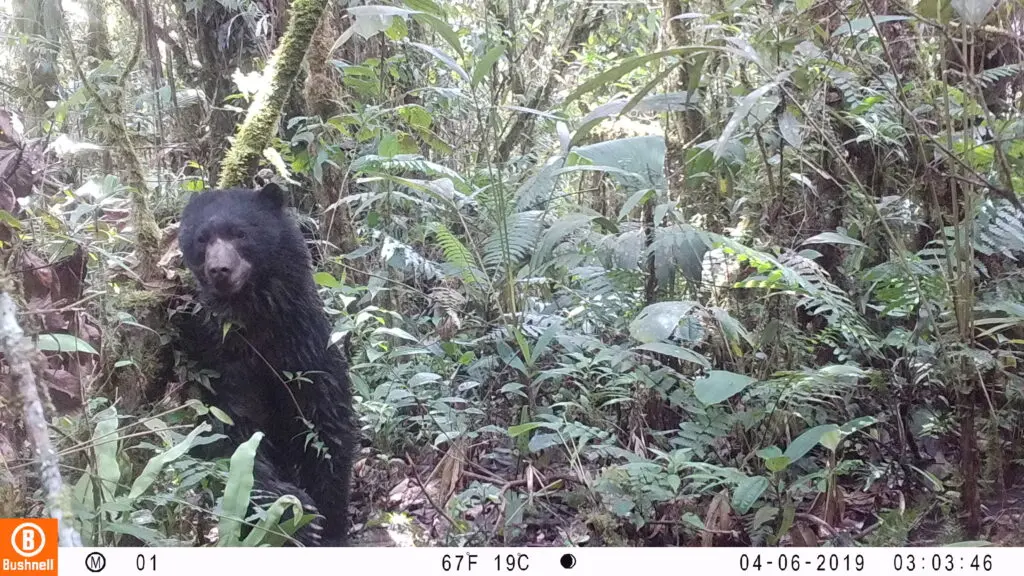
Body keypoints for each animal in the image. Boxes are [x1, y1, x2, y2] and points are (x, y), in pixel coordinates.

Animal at [176, 183, 354, 547]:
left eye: (240, 233)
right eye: (202, 239)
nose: (220, 270)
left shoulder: (308, 353)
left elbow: (329, 430)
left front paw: (329, 524)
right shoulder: (224, 364)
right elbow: (233, 436)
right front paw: (295, 510)